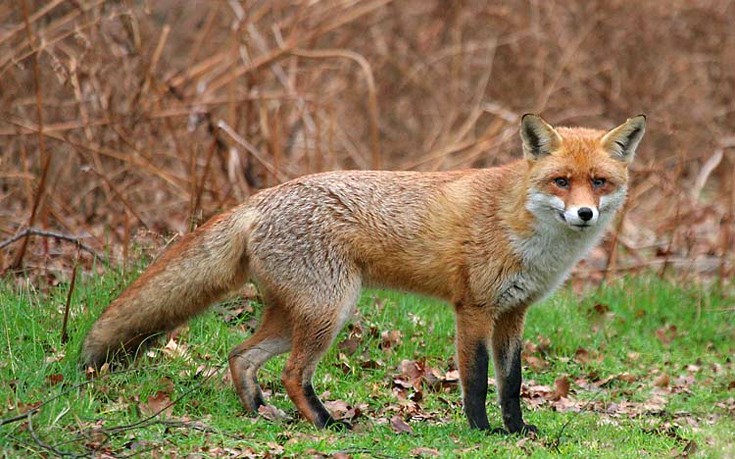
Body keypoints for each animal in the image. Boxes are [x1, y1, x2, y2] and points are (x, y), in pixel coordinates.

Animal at [82, 114, 644, 434]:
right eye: (561, 181)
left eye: (598, 182)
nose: (584, 214)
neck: (529, 233)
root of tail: (259, 199)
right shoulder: (474, 309)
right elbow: (477, 381)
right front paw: (482, 432)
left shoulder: (513, 314)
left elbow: (512, 383)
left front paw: (518, 432)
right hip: (331, 310)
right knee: (292, 373)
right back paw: (327, 423)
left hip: (298, 314)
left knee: (240, 356)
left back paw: (259, 413)